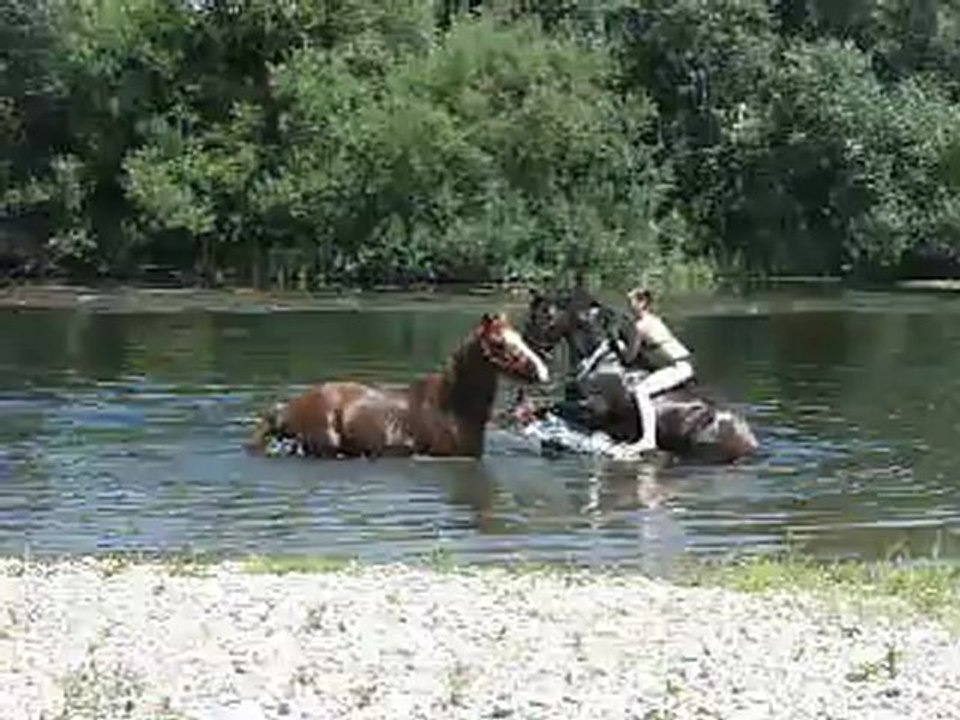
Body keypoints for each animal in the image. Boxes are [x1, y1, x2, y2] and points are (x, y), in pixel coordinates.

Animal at [519, 288, 759, 464]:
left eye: (542, 316)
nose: (530, 348)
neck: (602, 360)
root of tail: (747, 440)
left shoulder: (593, 412)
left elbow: (552, 408)